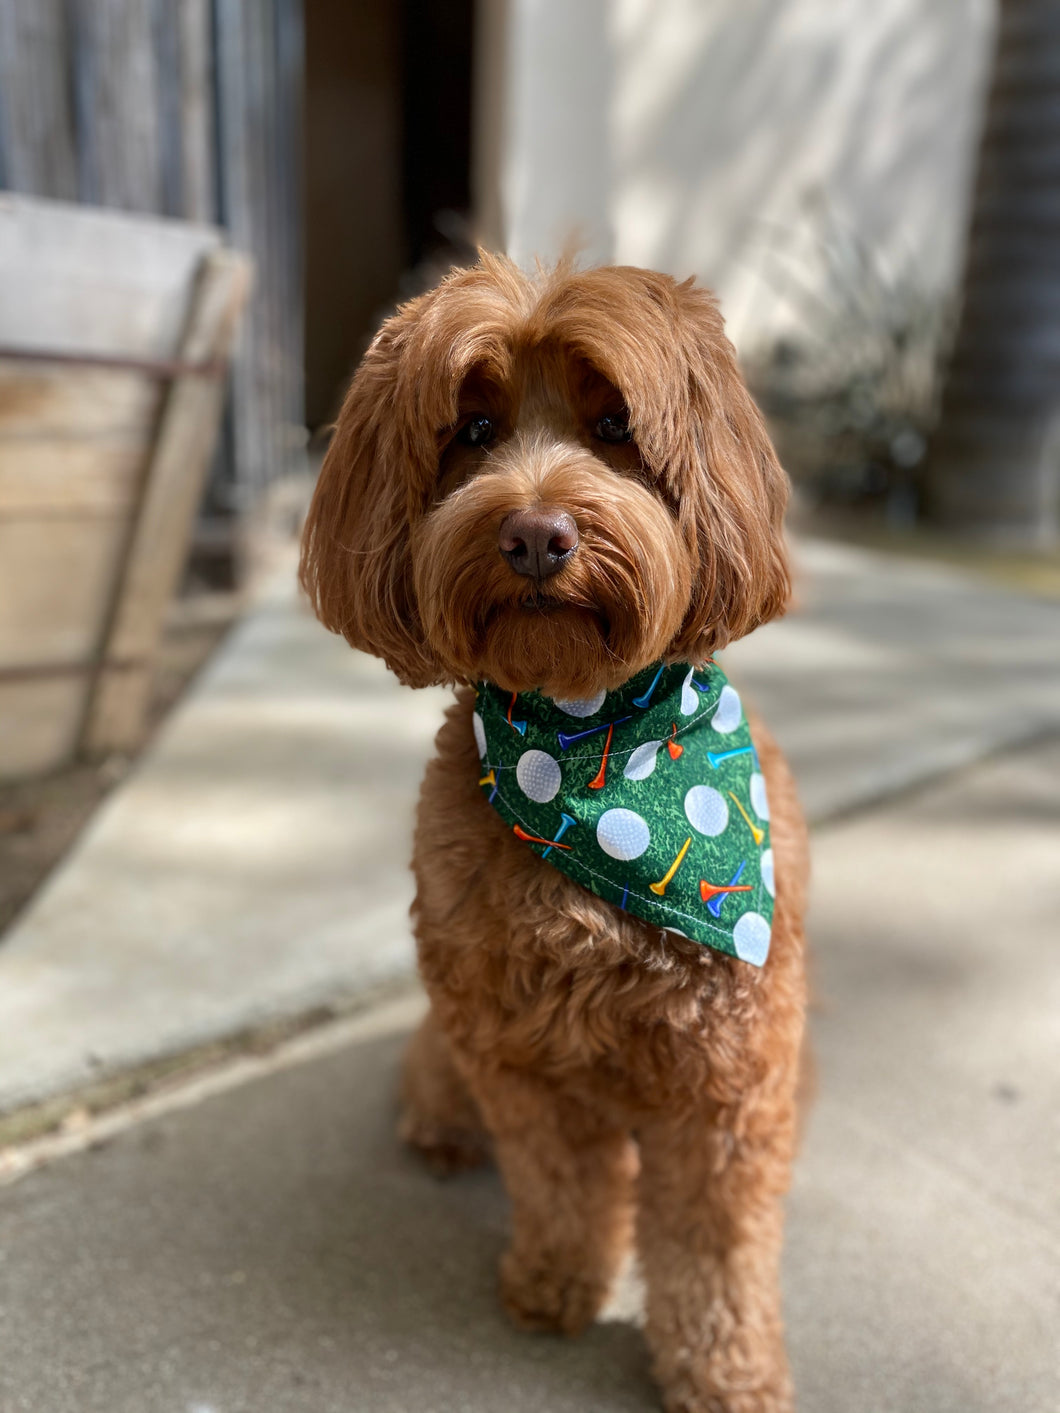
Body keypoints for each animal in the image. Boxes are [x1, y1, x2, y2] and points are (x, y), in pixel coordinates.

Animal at [301, 257, 814, 1413]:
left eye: (616, 423)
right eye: (473, 427)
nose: (535, 533)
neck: (593, 747)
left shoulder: (726, 1081)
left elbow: (715, 1244)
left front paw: (726, 1370)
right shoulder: (518, 1053)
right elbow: (559, 1183)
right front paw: (555, 1283)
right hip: (454, 1037)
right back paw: (436, 1127)